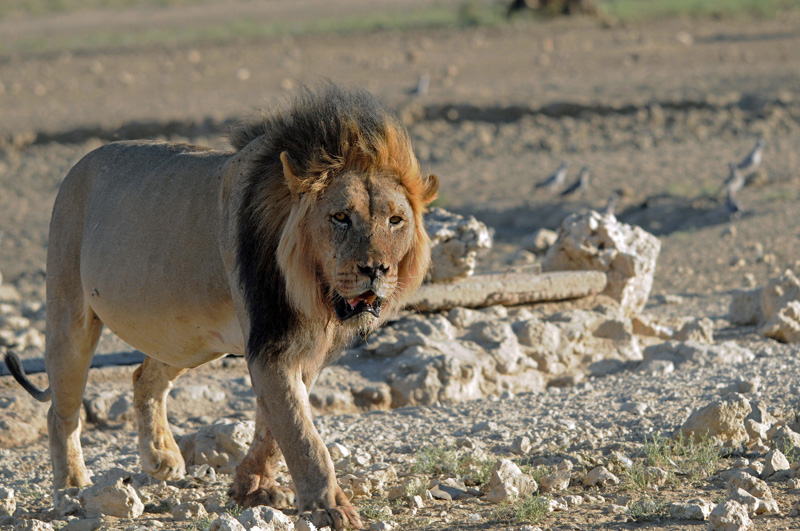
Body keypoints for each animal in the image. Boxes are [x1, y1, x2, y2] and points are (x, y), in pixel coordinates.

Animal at [4, 85, 438, 528]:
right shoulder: (271, 342)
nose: (376, 269)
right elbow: (302, 435)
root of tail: (81, 163)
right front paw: (330, 508)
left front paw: (253, 486)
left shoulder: (298, 350)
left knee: (144, 376)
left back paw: (161, 456)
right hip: (70, 315)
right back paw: (72, 487)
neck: (314, 291)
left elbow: (274, 426)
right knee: (61, 414)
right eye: (340, 217)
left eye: (396, 220)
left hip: (185, 338)